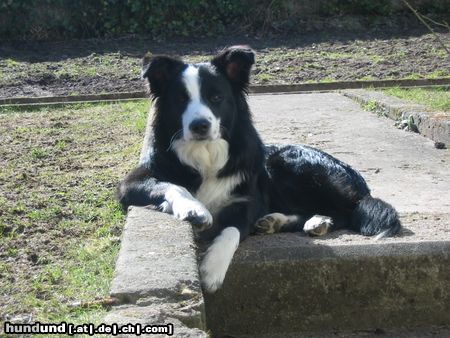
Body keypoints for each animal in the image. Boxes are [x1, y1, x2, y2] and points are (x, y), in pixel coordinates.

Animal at [118, 45, 402, 294]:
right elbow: (172, 185)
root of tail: (357, 179)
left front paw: (212, 269)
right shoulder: (132, 182)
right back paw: (280, 221)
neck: (206, 154)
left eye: (216, 97)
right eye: (181, 99)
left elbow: (232, 230)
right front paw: (193, 209)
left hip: (288, 162)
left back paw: (316, 221)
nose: (200, 125)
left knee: (347, 210)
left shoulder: (247, 200)